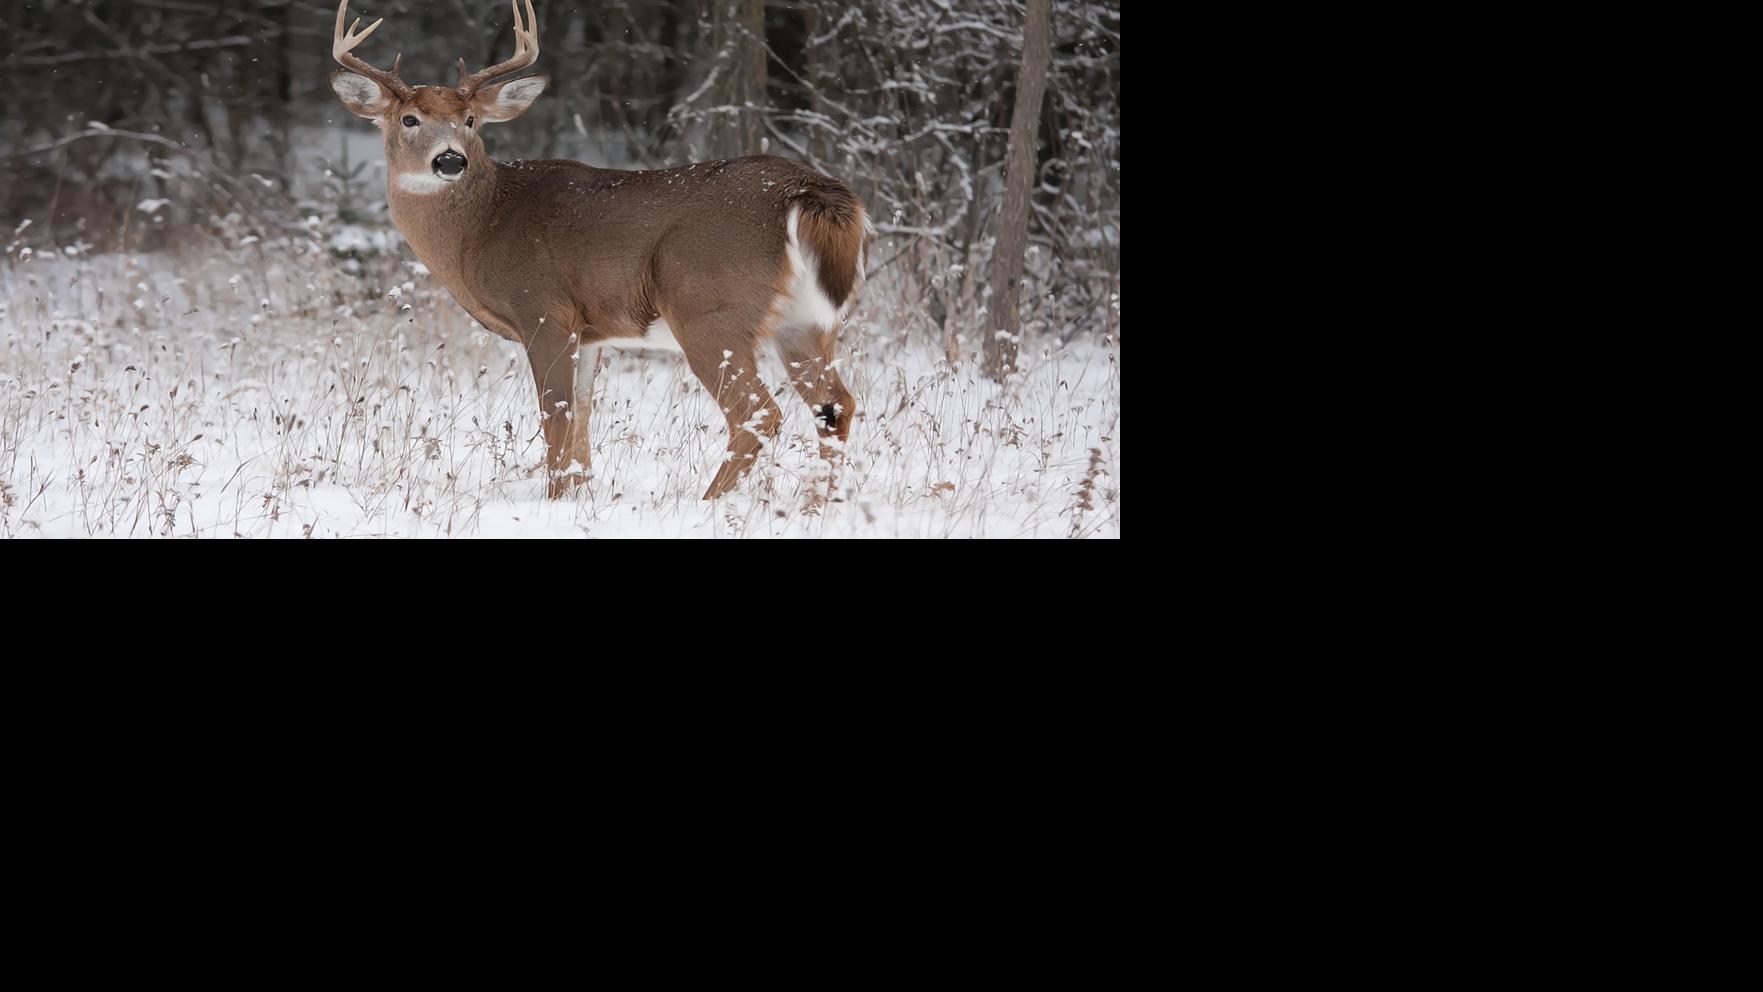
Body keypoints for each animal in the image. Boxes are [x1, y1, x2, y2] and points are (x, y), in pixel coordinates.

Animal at [327, 0, 869, 500]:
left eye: (471, 119)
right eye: (409, 119)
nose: (449, 161)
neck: (479, 229)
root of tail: (805, 191)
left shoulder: (542, 311)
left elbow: (557, 418)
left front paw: (552, 500)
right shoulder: (587, 331)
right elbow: (584, 421)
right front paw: (576, 493)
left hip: (710, 309)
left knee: (758, 412)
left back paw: (711, 502)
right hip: (806, 321)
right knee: (835, 404)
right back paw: (818, 504)